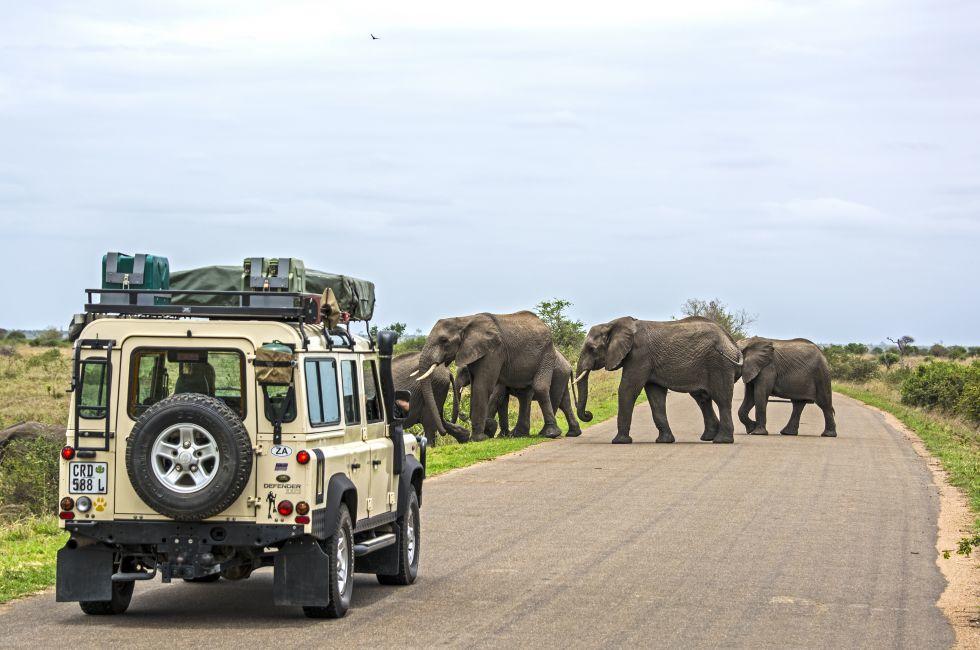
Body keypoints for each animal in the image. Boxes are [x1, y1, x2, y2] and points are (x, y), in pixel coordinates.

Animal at [416, 311, 564, 442]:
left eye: (444, 340)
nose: (443, 432)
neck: (464, 320)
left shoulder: (494, 351)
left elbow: (482, 386)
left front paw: (479, 439)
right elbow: (476, 387)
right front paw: (482, 434)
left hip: (546, 354)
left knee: (540, 387)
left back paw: (550, 434)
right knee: (524, 395)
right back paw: (520, 435)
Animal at [575, 316, 743, 444]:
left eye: (592, 349)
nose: (589, 414)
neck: (612, 324)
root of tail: (733, 343)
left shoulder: (639, 355)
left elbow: (627, 389)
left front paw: (619, 441)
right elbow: (655, 396)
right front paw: (664, 441)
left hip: (720, 363)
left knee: (722, 399)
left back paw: (722, 441)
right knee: (702, 398)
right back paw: (709, 438)